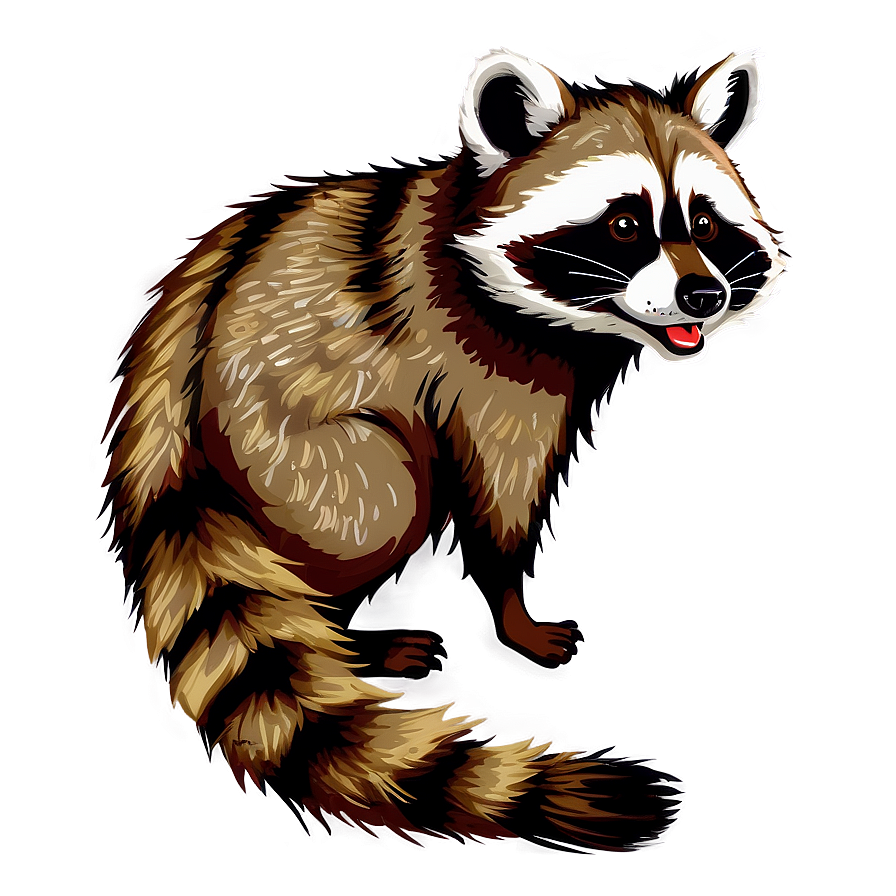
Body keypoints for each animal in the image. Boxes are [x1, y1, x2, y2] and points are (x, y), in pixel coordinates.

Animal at [103, 48, 785, 851]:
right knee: (385, 498)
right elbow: (498, 498)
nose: (703, 295)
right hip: (285, 454)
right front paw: (514, 612)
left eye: (705, 222)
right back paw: (351, 634)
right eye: (624, 225)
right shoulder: (479, 360)